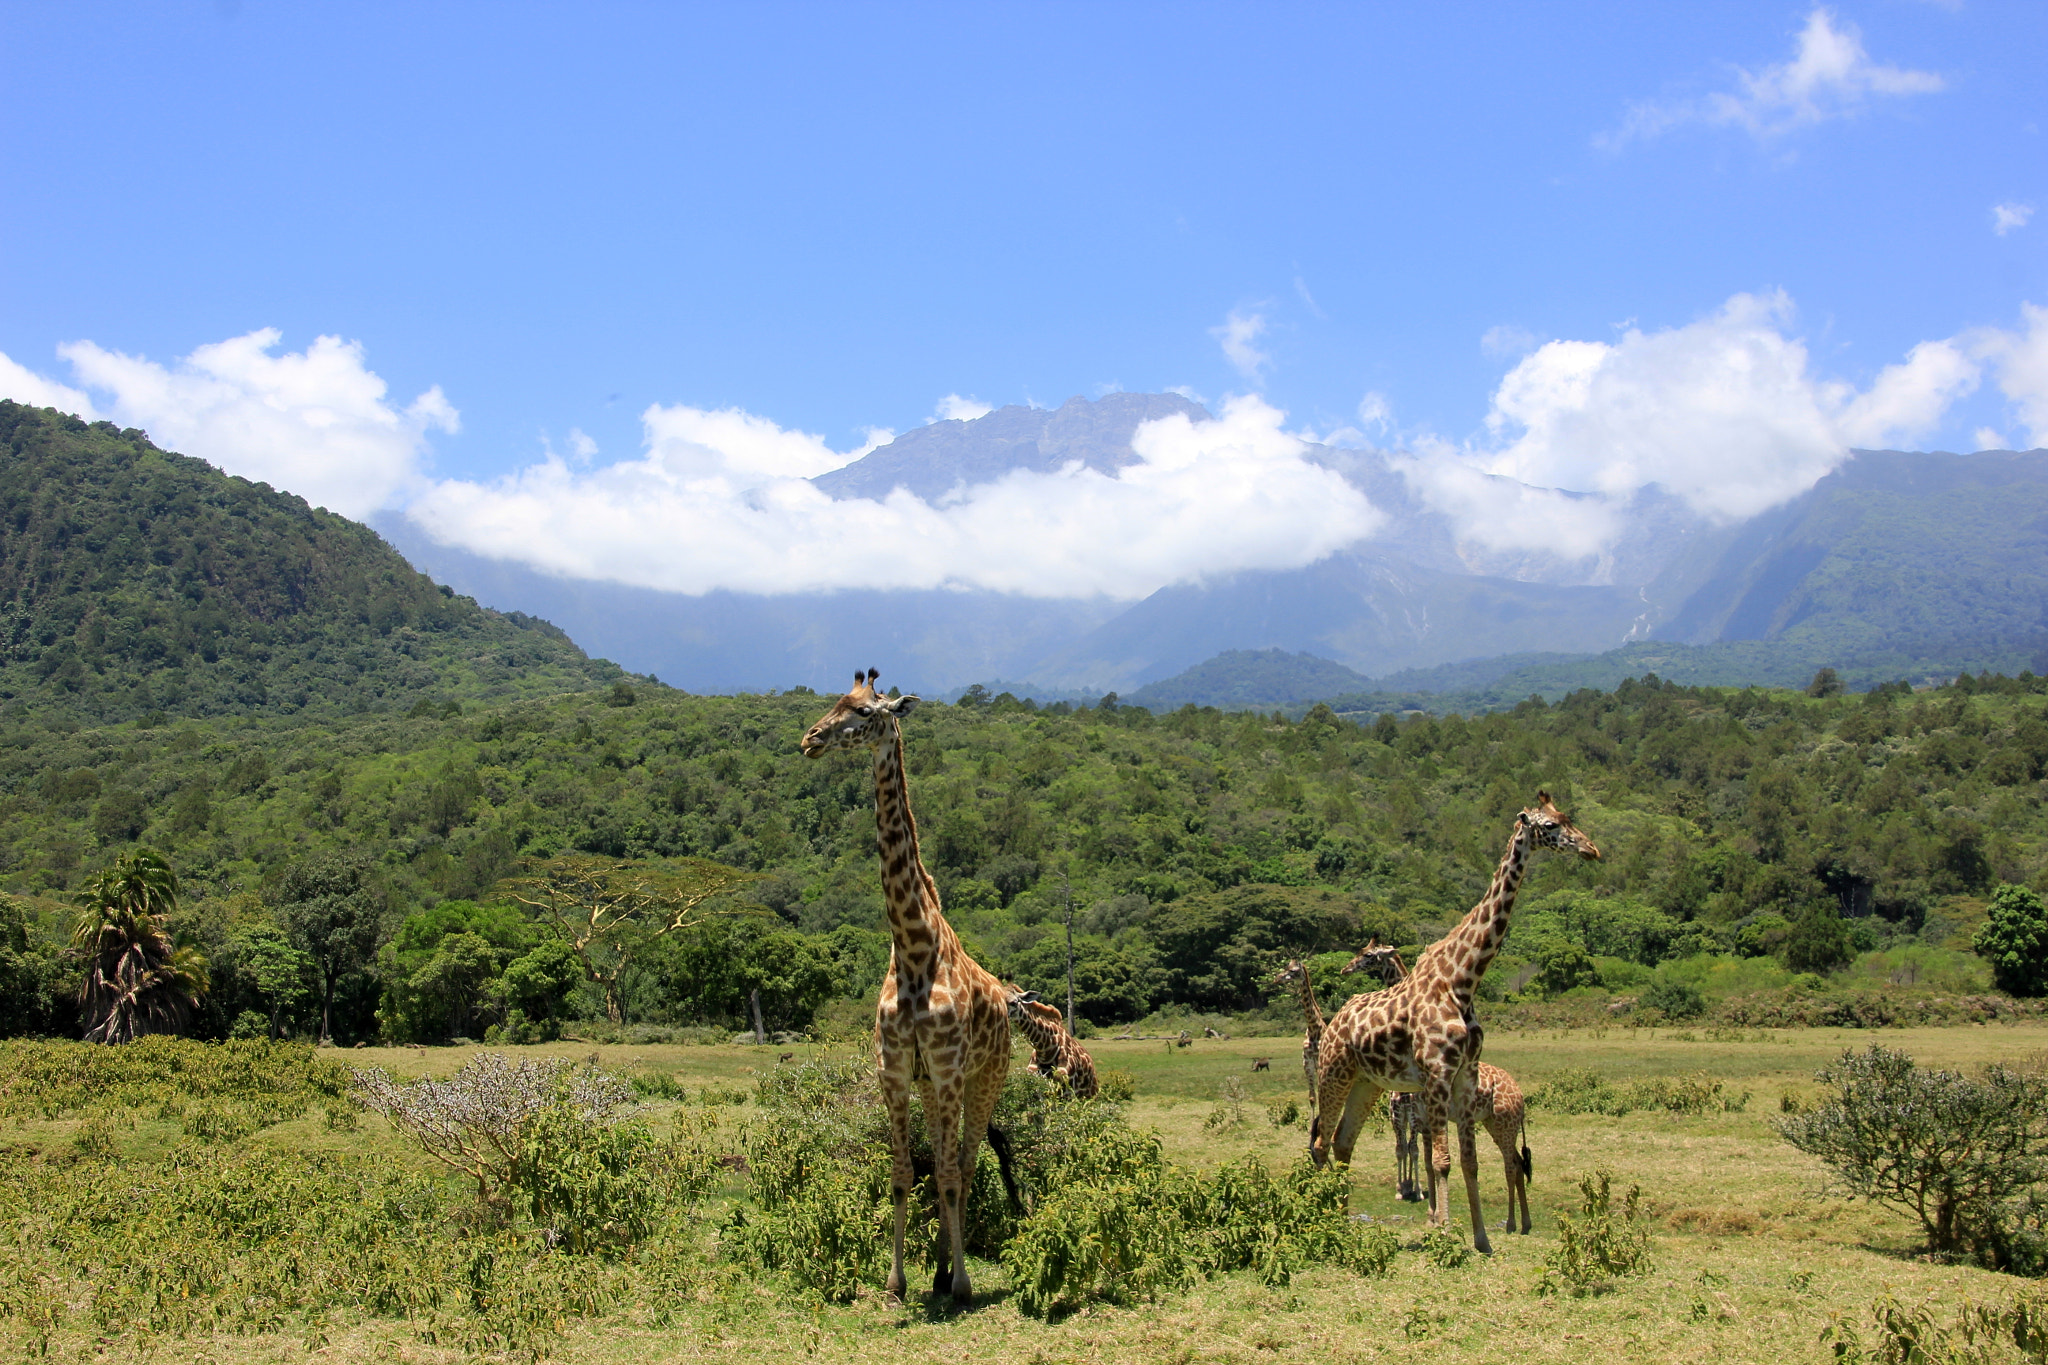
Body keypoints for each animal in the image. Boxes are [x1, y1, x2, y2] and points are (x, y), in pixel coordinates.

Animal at [800, 668, 1014, 1302]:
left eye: (865, 713)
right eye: (836, 701)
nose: (810, 739)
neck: (914, 947)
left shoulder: (947, 1071)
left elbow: (946, 1174)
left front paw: (962, 1282)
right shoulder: (895, 1072)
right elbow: (901, 1174)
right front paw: (896, 1281)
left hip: (984, 1079)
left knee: (963, 1166)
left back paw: (953, 1276)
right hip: (933, 1086)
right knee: (946, 1165)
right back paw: (938, 1271)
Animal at [1342, 942, 1533, 1229]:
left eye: (1367, 954)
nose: (1346, 968)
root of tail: (1520, 1094)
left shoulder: (1422, 1118)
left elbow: (1430, 1161)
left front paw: (1434, 1214)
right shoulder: (1422, 1119)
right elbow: (1428, 1161)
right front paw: (1432, 1215)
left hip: (1504, 1123)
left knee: (1512, 1165)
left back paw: (1512, 1223)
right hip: (1495, 1123)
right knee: (1518, 1163)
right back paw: (1524, 1223)